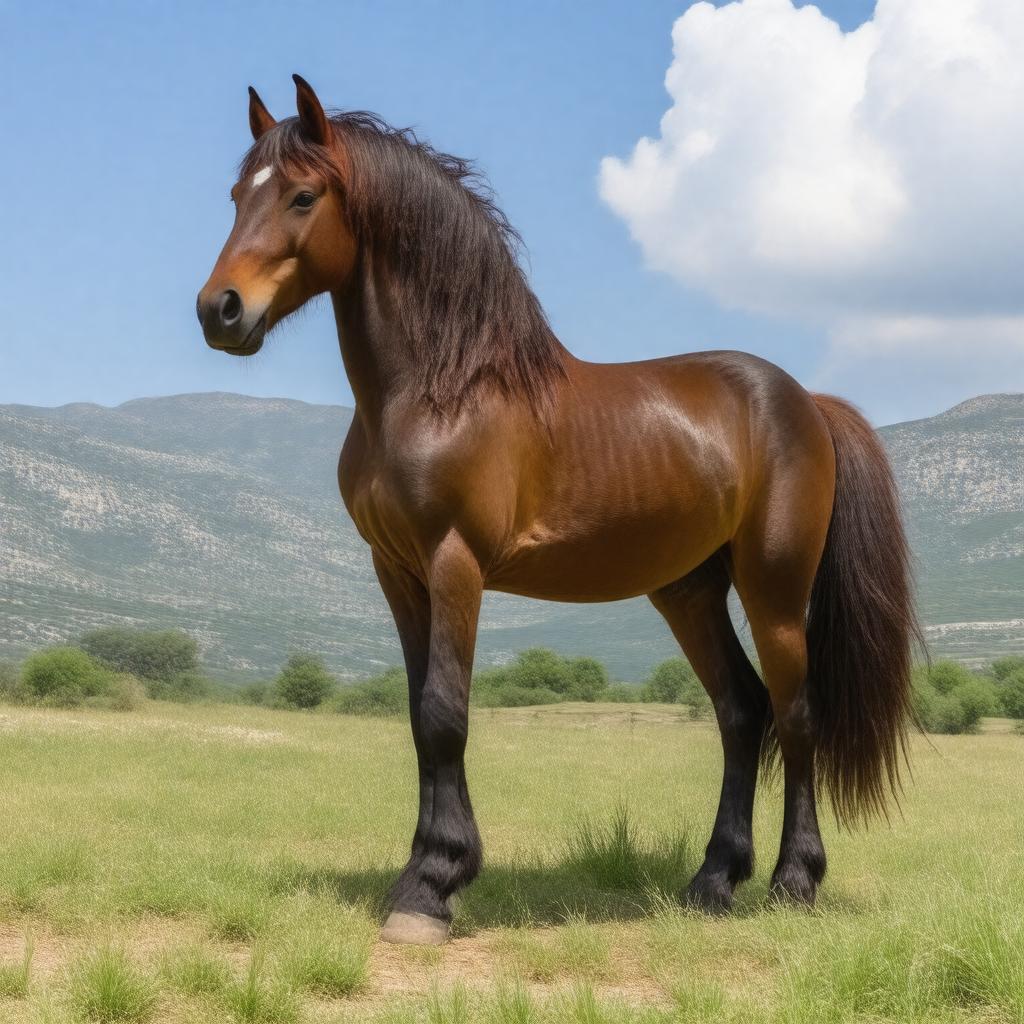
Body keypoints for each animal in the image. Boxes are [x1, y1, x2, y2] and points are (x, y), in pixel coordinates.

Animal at [197, 75, 921, 946]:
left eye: (303, 196)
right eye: (238, 195)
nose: (219, 311)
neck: (443, 389)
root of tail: (807, 403)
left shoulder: (455, 563)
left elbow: (444, 713)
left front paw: (432, 888)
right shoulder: (397, 571)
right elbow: (418, 718)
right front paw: (422, 873)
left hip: (774, 591)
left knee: (797, 714)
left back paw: (794, 883)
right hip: (689, 591)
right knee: (742, 712)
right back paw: (712, 882)